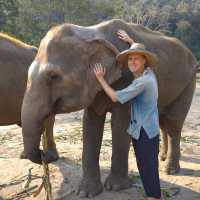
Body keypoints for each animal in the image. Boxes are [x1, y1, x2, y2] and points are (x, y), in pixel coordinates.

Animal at [21, 19, 198, 198]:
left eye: (53, 76)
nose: (45, 155)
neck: (90, 33)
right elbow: (90, 124)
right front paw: (86, 192)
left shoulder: (126, 79)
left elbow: (120, 124)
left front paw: (116, 187)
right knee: (162, 122)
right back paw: (161, 157)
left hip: (189, 82)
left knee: (173, 123)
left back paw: (170, 169)